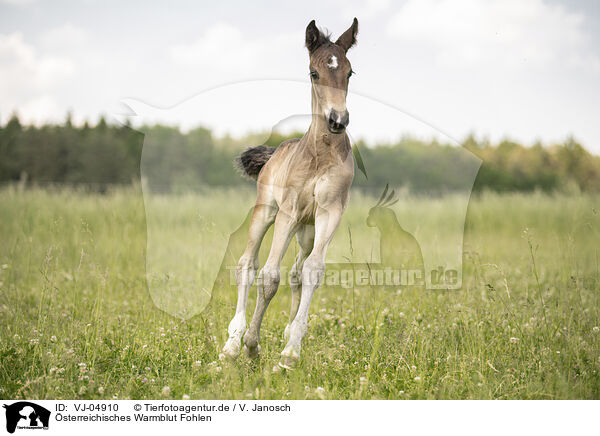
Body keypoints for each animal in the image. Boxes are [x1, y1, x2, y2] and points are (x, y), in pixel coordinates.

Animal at [223, 19, 358, 368]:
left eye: (350, 72)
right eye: (314, 73)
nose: (338, 120)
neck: (319, 155)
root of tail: (275, 151)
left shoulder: (329, 213)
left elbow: (312, 272)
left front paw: (290, 351)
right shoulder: (289, 212)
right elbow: (269, 277)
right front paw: (251, 344)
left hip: (306, 230)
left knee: (297, 271)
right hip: (267, 211)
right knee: (247, 264)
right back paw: (232, 341)